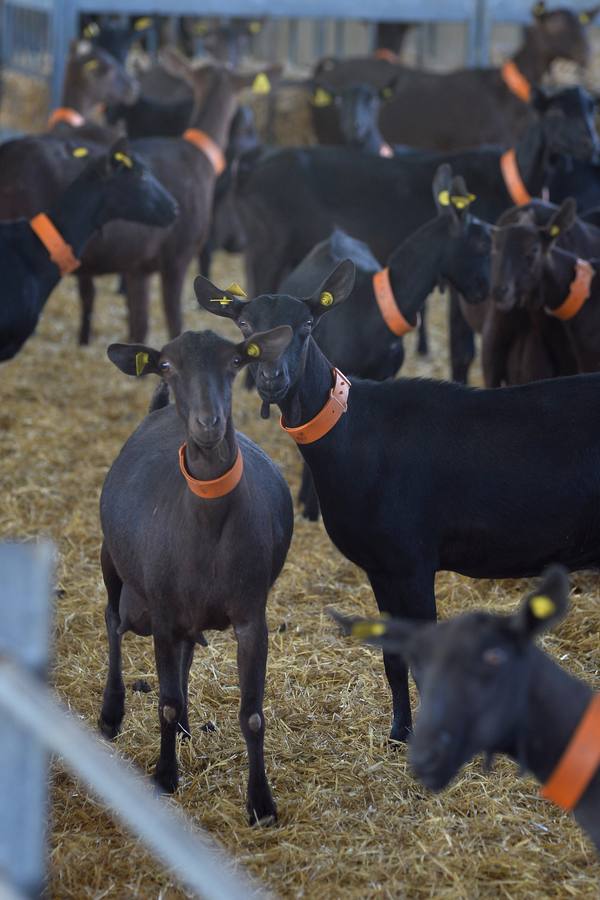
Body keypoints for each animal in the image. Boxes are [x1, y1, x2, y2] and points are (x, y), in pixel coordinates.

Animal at [99, 326, 294, 824]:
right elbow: (165, 705)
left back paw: (188, 727)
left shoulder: (250, 617)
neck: (207, 523)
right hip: (113, 561)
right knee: (113, 622)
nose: (209, 423)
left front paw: (260, 803)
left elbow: (252, 715)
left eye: (235, 363)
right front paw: (165, 778)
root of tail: (158, 412)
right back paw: (111, 713)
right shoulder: (163, 614)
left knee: (185, 651)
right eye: (168, 365)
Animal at [196, 262, 600, 744]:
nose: (273, 380)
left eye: (308, 326)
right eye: (244, 326)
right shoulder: (381, 565)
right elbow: (393, 658)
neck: (351, 433)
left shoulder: (413, 560)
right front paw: (398, 731)